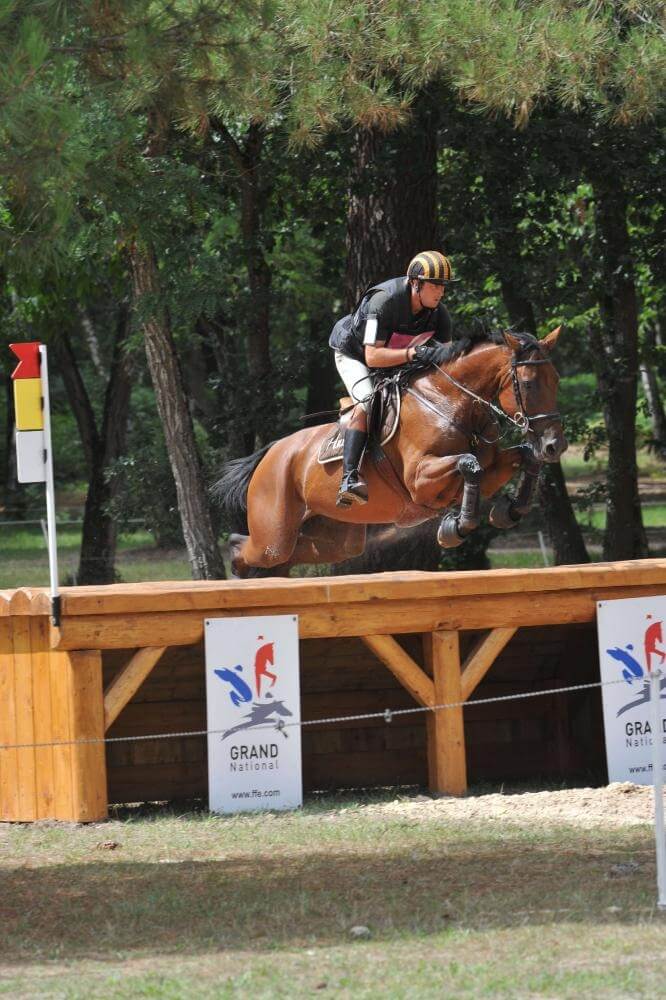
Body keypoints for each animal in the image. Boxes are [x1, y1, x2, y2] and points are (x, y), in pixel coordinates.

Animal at [214, 327, 566, 577]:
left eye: (557, 379)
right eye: (529, 384)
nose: (555, 445)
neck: (450, 403)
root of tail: (272, 452)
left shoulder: (491, 470)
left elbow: (522, 456)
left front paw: (509, 510)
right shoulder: (421, 481)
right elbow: (469, 464)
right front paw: (456, 527)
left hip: (335, 538)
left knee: (287, 556)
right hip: (274, 531)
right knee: (251, 548)